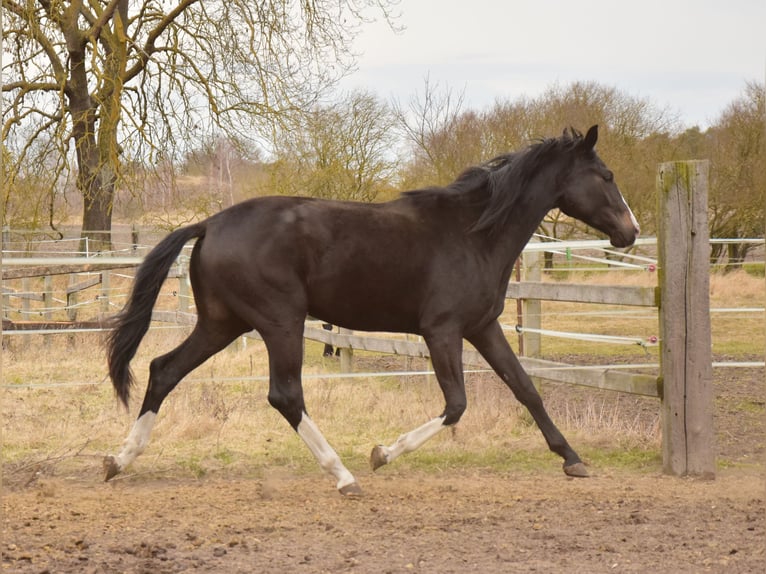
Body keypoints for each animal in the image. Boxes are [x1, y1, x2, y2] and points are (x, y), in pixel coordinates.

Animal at [105, 125, 639, 495]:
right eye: (606, 176)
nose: (630, 232)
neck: (474, 234)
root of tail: (210, 223)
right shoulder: (442, 331)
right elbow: (456, 405)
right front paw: (382, 453)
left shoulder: (483, 327)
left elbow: (526, 389)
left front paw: (572, 458)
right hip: (280, 323)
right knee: (285, 396)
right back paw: (344, 476)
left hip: (222, 323)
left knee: (163, 369)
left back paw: (119, 460)